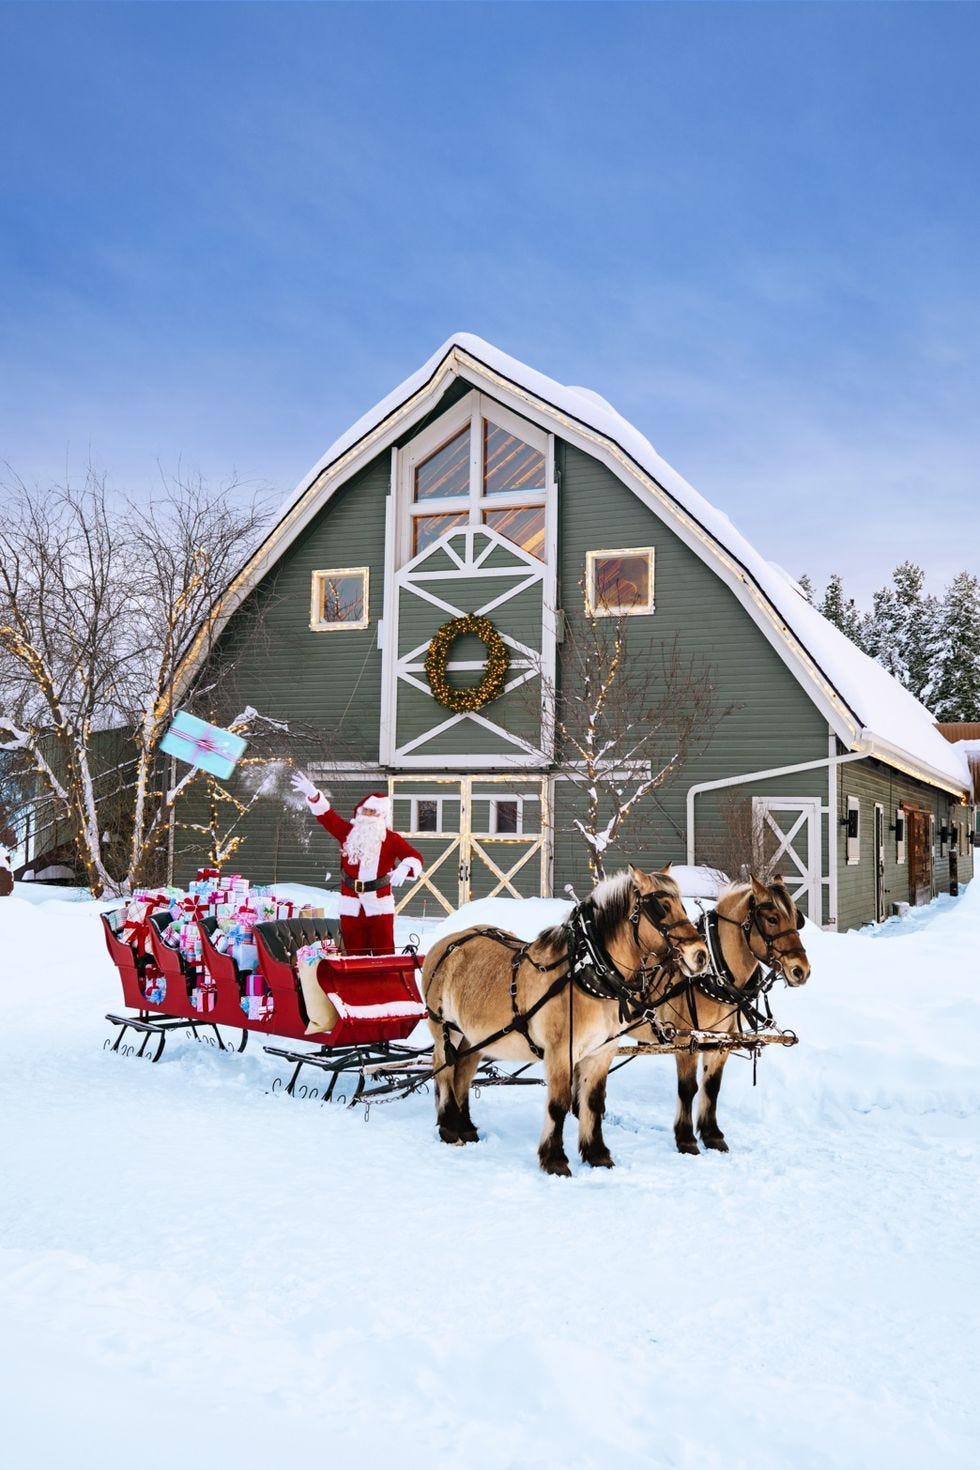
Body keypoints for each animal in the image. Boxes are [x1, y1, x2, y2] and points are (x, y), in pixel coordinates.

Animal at [420, 864, 705, 1176]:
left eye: (682, 905)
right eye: (661, 908)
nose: (700, 955)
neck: (588, 974)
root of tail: (447, 942)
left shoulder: (601, 1052)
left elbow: (593, 1102)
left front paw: (597, 1154)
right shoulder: (560, 1052)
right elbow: (558, 1104)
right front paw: (554, 1159)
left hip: (475, 1036)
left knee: (463, 1072)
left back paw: (466, 1127)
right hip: (445, 1028)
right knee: (444, 1069)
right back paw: (450, 1129)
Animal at [652, 870, 811, 1158]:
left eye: (797, 919)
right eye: (772, 919)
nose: (801, 970)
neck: (713, 975)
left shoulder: (721, 1040)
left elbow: (711, 1086)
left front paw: (712, 1135)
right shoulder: (685, 1040)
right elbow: (688, 1088)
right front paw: (685, 1139)